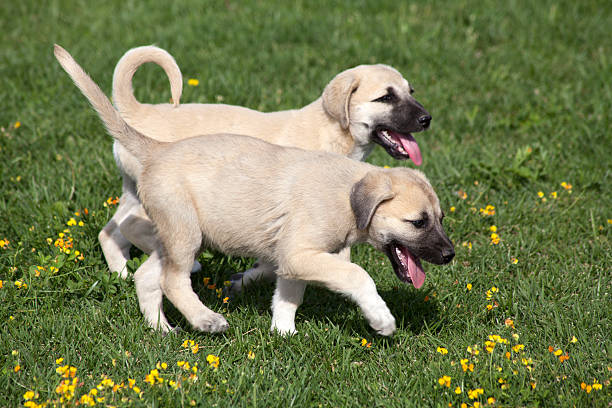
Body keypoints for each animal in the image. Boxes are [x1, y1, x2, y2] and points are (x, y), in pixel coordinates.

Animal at [53, 44, 454, 334]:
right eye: (386, 97)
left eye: (410, 92)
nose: (427, 119)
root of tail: (149, 135)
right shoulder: (303, 252)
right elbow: (354, 274)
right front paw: (381, 319)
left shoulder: (296, 256)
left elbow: (287, 292)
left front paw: (283, 332)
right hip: (182, 226)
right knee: (166, 273)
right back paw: (206, 319)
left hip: (152, 210)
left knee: (134, 258)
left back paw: (159, 326)